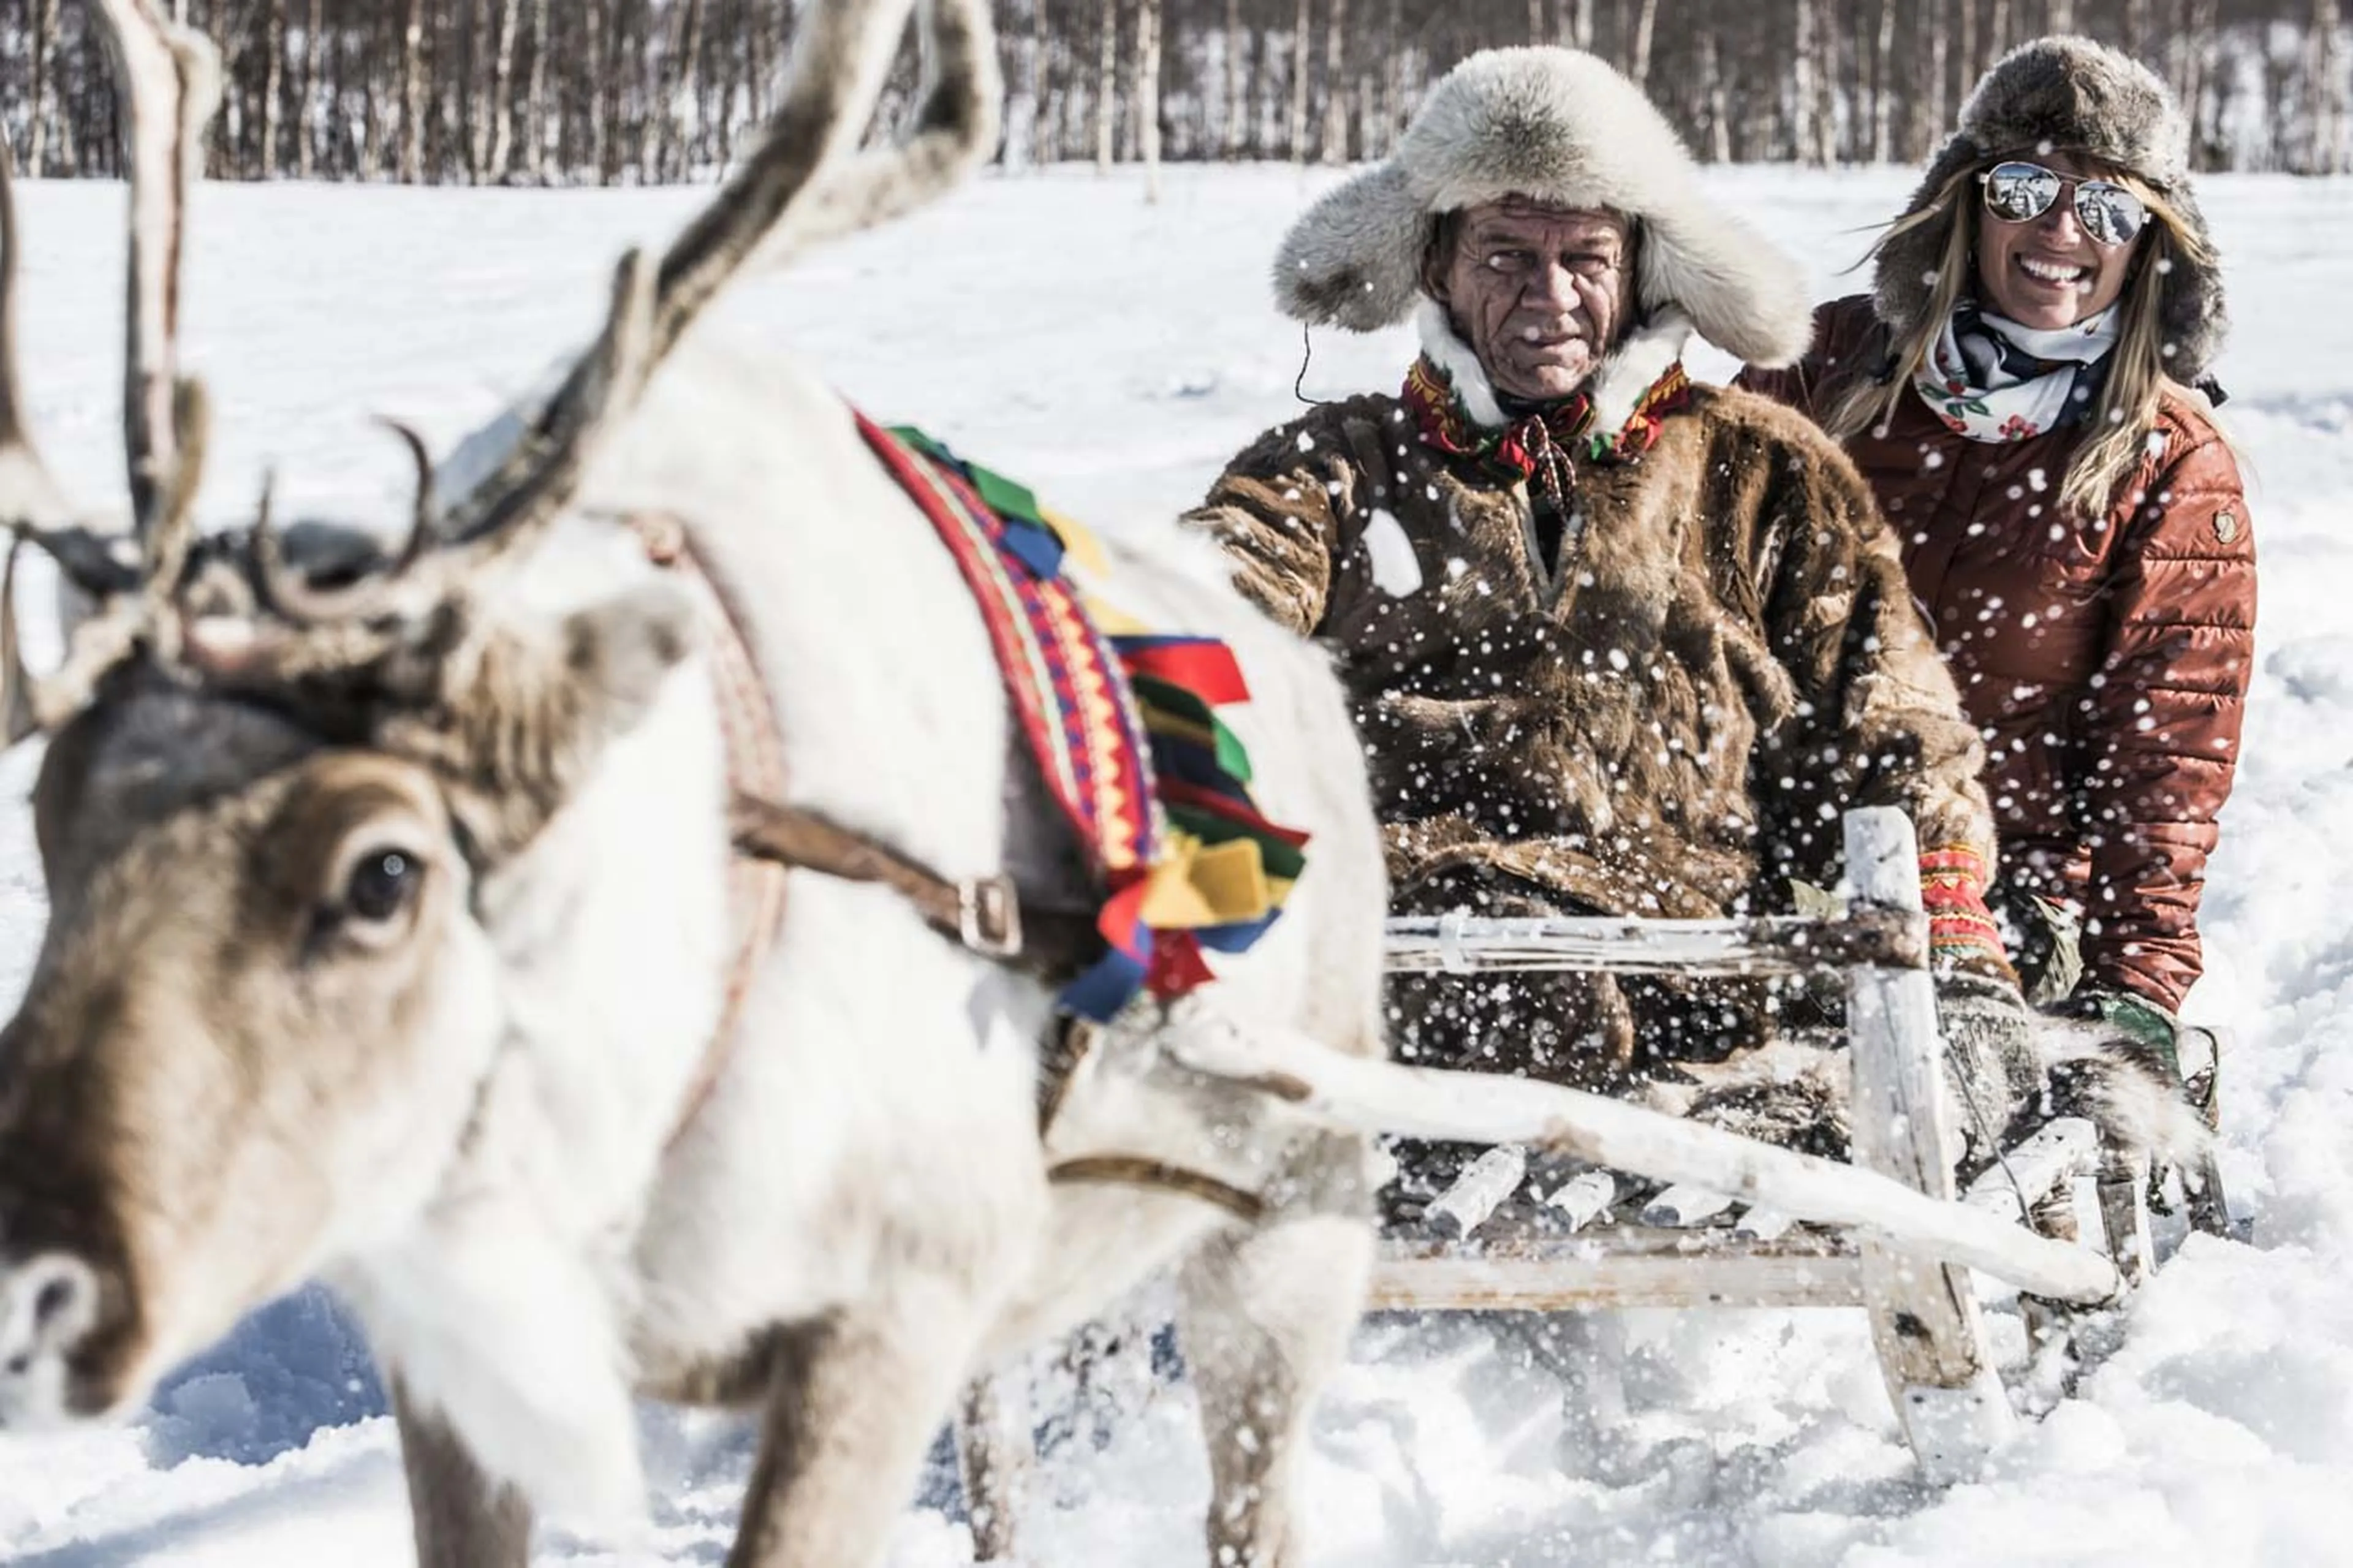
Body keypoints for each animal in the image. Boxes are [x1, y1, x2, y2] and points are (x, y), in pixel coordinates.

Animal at [0, 0, 1391, 1563]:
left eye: (383, 871)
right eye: (47, 812)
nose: (34, 1293)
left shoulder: (892, 1303)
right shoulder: (458, 1354)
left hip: (1289, 1235)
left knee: (1252, 1498)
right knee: (1007, 1466)